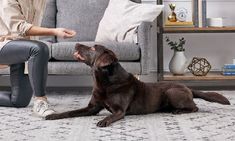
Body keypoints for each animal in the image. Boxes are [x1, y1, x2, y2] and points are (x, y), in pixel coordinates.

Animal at [45, 43, 229, 126]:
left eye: (92, 48)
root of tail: (188, 88)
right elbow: (70, 112)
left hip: (172, 92)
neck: (105, 83)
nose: (76, 43)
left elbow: (111, 115)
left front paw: (104, 121)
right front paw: (53, 115)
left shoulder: (119, 111)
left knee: (195, 107)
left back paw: (178, 110)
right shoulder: (92, 108)